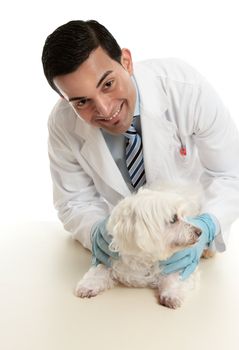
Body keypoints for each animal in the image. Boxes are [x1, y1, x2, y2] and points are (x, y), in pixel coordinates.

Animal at [75, 183, 215, 308]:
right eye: (173, 219)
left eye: (183, 216)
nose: (200, 232)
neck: (142, 258)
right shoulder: (109, 258)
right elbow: (99, 269)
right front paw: (88, 285)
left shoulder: (183, 264)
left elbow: (175, 276)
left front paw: (171, 294)